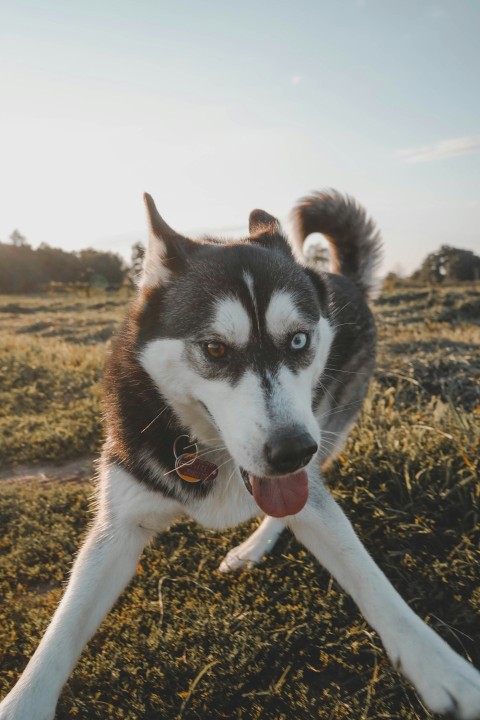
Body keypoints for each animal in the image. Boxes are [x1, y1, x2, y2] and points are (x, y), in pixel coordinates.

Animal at [0, 193, 480, 720]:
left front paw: (440, 666)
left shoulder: (311, 474)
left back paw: (252, 547)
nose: (292, 451)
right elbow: (63, 628)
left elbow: (370, 579)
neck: (209, 452)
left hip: (330, 424)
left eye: (299, 340)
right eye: (214, 348)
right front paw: (24, 700)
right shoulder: (118, 523)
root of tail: (344, 279)